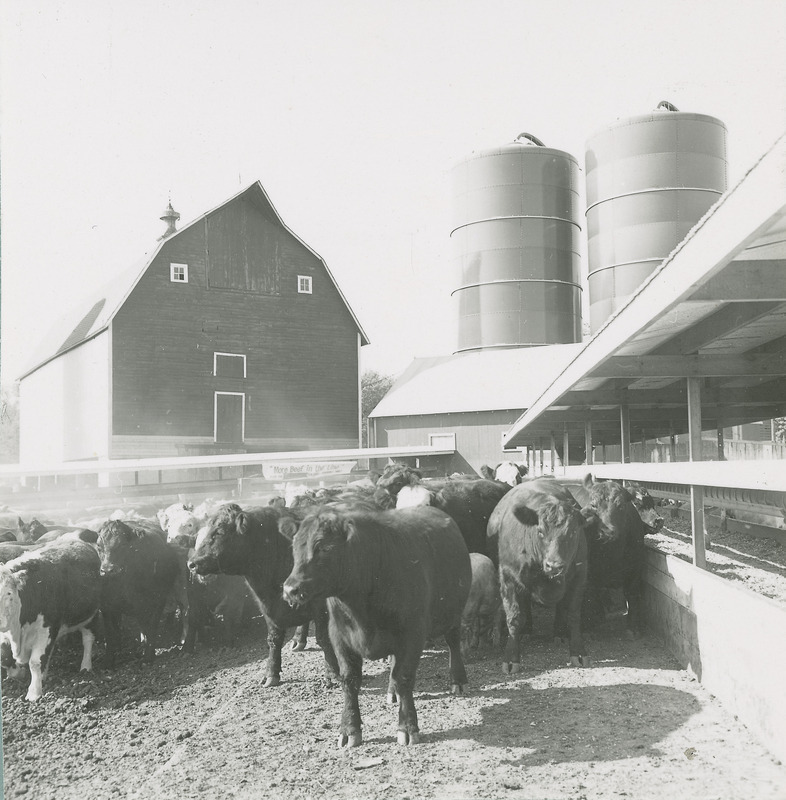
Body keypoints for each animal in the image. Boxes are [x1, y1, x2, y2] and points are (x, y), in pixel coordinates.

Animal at [0, 536, 101, 700]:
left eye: (9, 593)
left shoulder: (46, 629)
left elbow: (35, 662)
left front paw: (34, 693)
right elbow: (5, 656)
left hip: (90, 616)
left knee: (88, 639)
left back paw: (85, 667)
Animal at [96, 516, 179, 664]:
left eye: (123, 545)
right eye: (99, 546)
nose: (107, 570)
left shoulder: (152, 602)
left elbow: (150, 627)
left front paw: (148, 656)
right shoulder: (106, 606)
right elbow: (110, 632)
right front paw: (109, 660)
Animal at [190, 506, 340, 688]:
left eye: (219, 532)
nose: (191, 563)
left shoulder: (321, 605)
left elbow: (324, 638)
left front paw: (332, 673)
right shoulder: (268, 608)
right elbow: (273, 640)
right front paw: (271, 673)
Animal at [284, 510, 472, 748]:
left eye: (325, 548)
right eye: (294, 547)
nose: (290, 589)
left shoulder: (413, 635)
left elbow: (404, 677)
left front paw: (407, 727)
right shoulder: (340, 637)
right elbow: (350, 681)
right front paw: (349, 729)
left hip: (454, 613)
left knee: (453, 642)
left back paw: (458, 680)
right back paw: (392, 692)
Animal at [486, 478, 592, 672]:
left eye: (573, 532)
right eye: (540, 531)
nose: (554, 565)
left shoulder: (580, 576)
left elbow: (573, 615)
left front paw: (578, 652)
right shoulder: (508, 578)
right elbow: (514, 618)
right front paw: (511, 658)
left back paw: (558, 633)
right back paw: (527, 631)